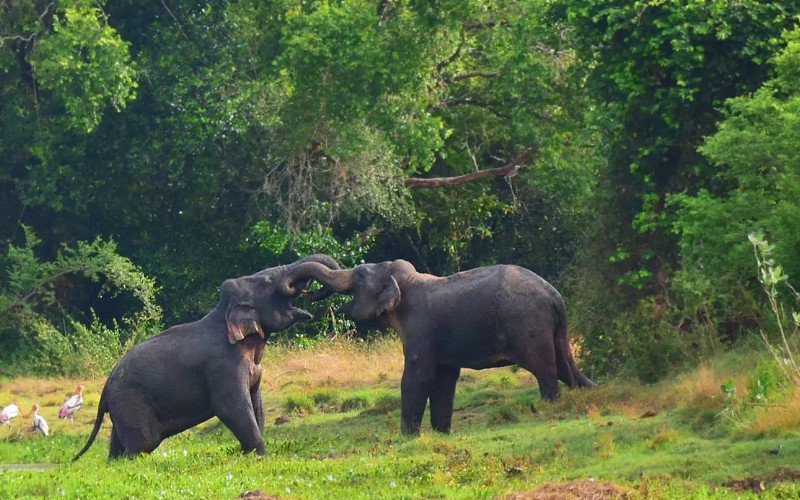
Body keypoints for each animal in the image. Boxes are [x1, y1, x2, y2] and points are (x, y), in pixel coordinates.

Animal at [71, 254, 340, 460]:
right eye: (268, 281)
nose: (310, 289)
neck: (222, 314)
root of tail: (105, 388)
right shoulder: (223, 367)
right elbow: (230, 406)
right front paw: (261, 455)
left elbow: (256, 402)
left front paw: (253, 454)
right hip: (131, 402)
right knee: (144, 442)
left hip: (122, 408)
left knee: (119, 445)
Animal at [304, 260, 596, 436]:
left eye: (361, 274)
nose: (307, 289)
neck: (410, 281)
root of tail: (555, 297)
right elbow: (444, 380)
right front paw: (441, 433)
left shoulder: (421, 329)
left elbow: (417, 377)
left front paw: (408, 437)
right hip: (554, 333)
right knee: (565, 368)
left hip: (530, 328)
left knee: (546, 370)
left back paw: (551, 406)